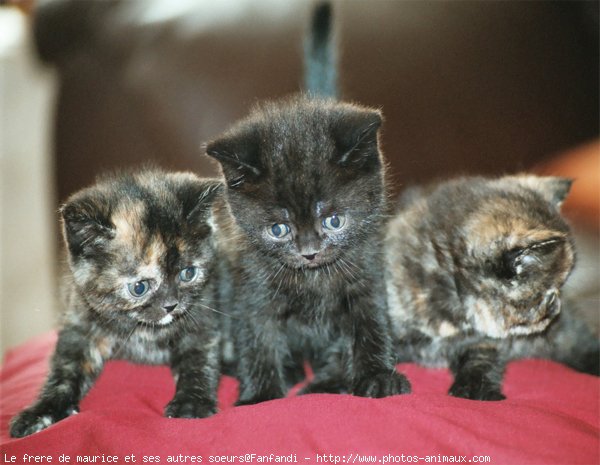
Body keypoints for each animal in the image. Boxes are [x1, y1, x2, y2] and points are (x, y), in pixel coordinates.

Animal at [8, 169, 225, 436]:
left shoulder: (202, 317)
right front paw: (42, 411)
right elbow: (64, 369)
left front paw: (191, 403)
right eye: (139, 287)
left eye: (188, 273)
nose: (171, 305)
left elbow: (199, 360)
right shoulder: (79, 321)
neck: (142, 330)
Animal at [204, 1, 410, 402]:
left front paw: (376, 375)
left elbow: (370, 323)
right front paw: (261, 394)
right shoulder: (251, 285)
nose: (310, 252)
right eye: (278, 229)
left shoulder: (366, 273)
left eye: (334, 220)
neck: (313, 280)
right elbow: (257, 337)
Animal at [384, 174, 600, 398]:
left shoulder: (486, 342)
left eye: (560, 288)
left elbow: (482, 358)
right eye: (548, 295)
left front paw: (475, 390)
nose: (557, 306)